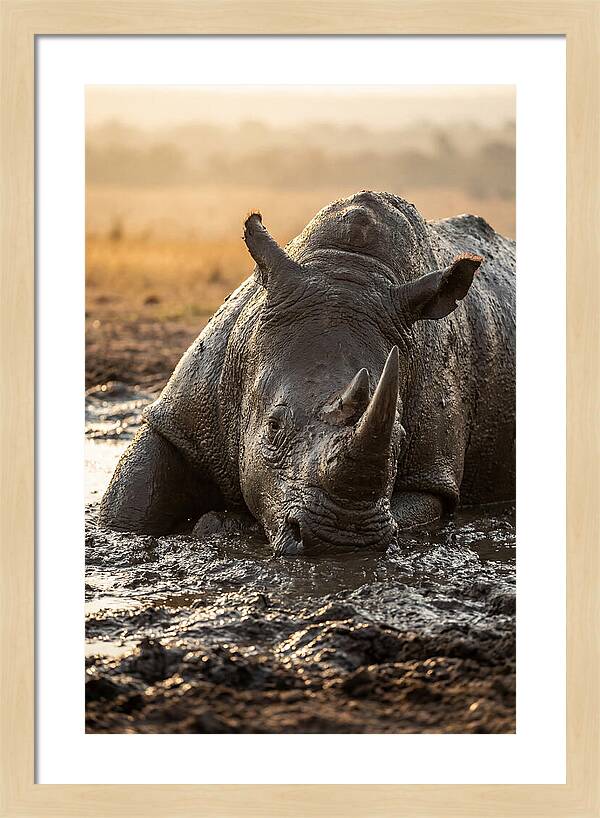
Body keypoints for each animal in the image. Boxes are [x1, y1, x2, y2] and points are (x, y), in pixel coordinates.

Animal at [99, 191, 515, 554]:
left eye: (400, 437)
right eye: (273, 427)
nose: (341, 539)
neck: (349, 268)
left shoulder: (432, 473)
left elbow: (416, 508)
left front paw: (221, 525)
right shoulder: (181, 415)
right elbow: (129, 505)